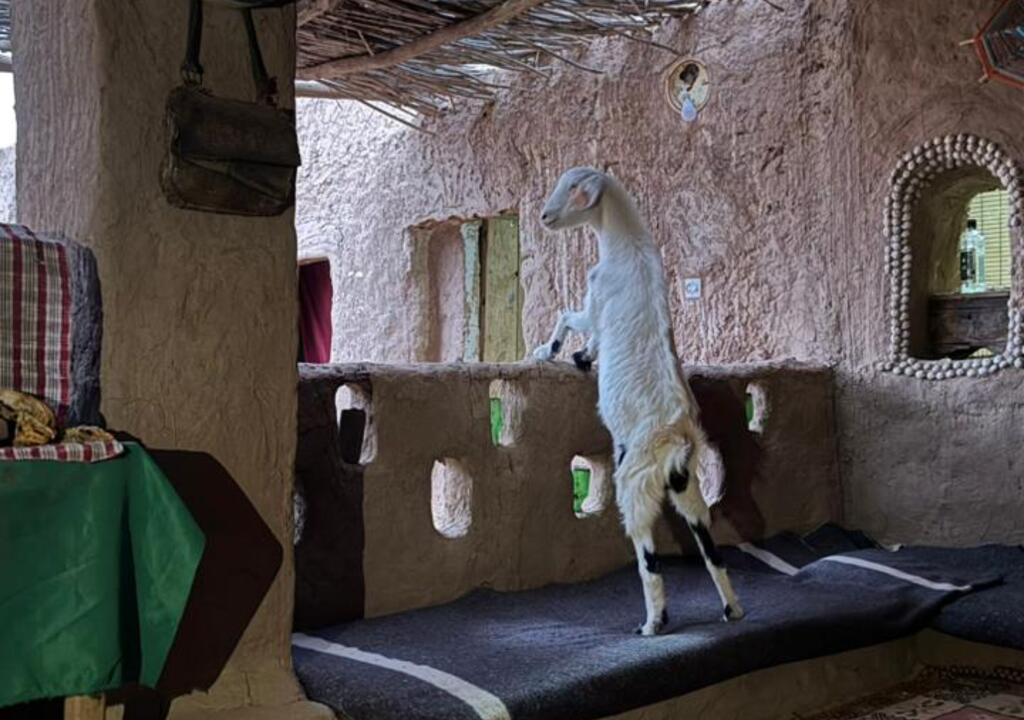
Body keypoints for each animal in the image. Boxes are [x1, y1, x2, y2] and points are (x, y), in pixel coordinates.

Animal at [532, 166, 744, 635]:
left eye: (573, 188)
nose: (544, 217)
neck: (627, 244)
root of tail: (679, 444)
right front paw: (577, 356)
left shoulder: (596, 304)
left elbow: (569, 316)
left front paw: (551, 352)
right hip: (690, 493)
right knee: (712, 551)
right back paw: (732, 610)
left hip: (634, 485)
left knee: (650, 560)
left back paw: (652, 624)